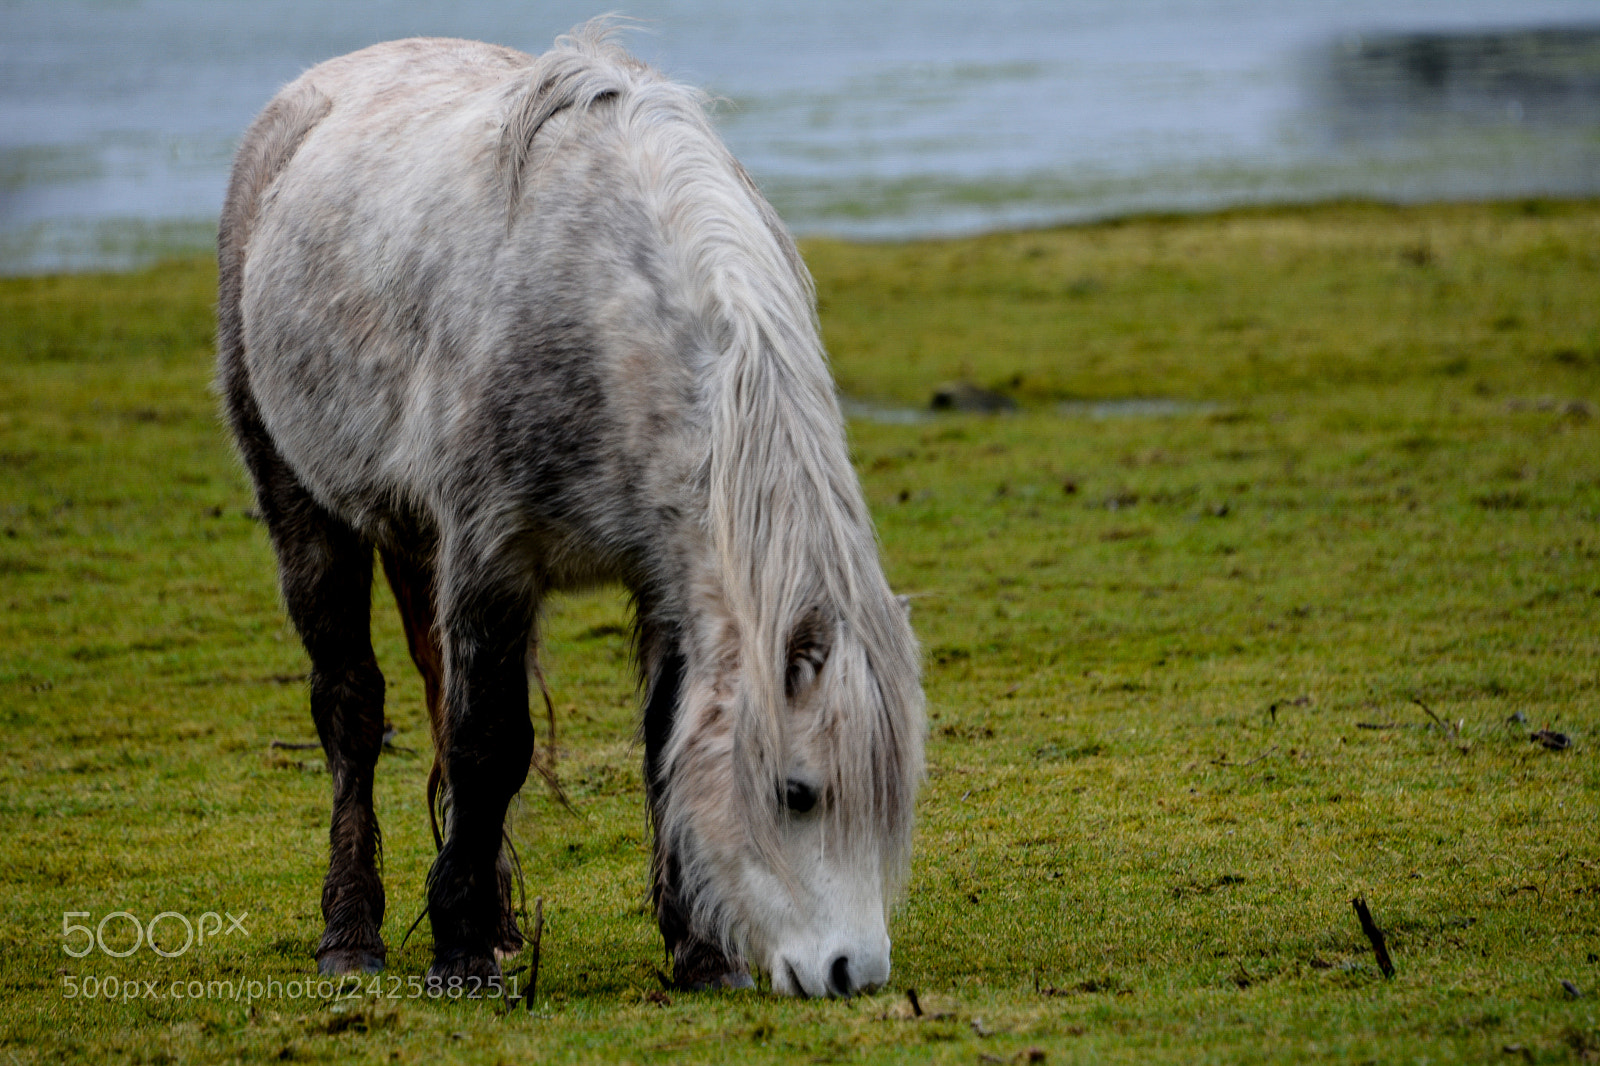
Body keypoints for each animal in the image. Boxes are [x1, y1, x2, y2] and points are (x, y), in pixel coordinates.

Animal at [216, 22, 925, 998]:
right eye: (796, 792)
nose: (853, 971)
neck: (605, 322)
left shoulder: (665, 577)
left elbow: (662, 743)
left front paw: (699, 956)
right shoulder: (493, 557)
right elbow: (489, 744)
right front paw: (461, 955)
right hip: (305, 511)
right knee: (352, 710)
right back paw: (352, 934)